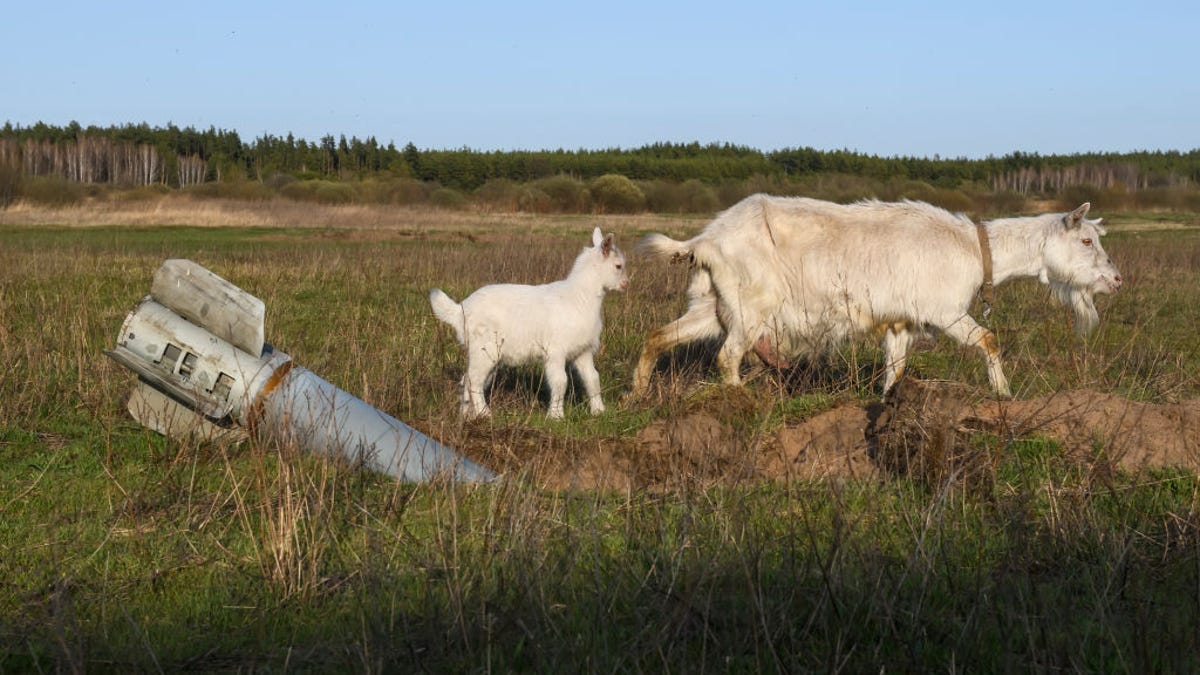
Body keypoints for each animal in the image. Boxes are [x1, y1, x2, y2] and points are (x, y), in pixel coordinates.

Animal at [633, 192, 1118, 396]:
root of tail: (704, 240)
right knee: (728, 357)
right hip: (752, 307)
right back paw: (740, 401)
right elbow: (989, 340)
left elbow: (896, 368)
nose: (1115, 281)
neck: (976, 249)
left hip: (715, 304)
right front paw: (1003, 394)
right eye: (1086, 241)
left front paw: (886, 404)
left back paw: (635, 395)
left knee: (658, 336)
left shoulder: (901, 320)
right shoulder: (943, 311)